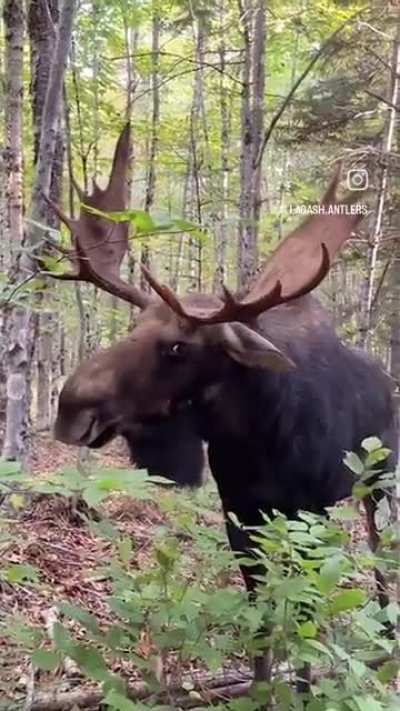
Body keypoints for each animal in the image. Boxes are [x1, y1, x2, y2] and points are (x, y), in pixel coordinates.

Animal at [47, 124, 398, 694]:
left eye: (177, 347)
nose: (69, 405)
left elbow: (303, 616)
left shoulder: (310, 513)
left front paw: (303, 688)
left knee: (381, 555)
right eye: (133, 327)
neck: (260, 438)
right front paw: (261, 689)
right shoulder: (241, 517)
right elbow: (261, 624)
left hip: (379, 483)